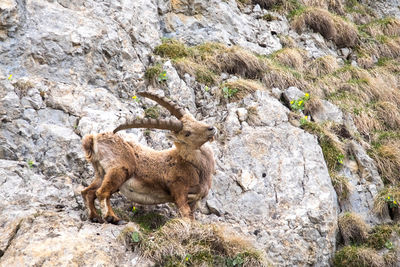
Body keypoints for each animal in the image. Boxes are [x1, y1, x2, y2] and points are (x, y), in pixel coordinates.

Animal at [79, 91, 214, 224]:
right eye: (187, 133)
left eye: (195, 120)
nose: (211, 128)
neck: (195, 167)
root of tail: (93, 139)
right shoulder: (179, 190)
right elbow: (187, 215)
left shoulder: (194, 200)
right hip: (120, 170)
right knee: (101, 193)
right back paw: (113, 218)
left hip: (101, 173)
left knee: (88, 192)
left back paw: (95, 217)